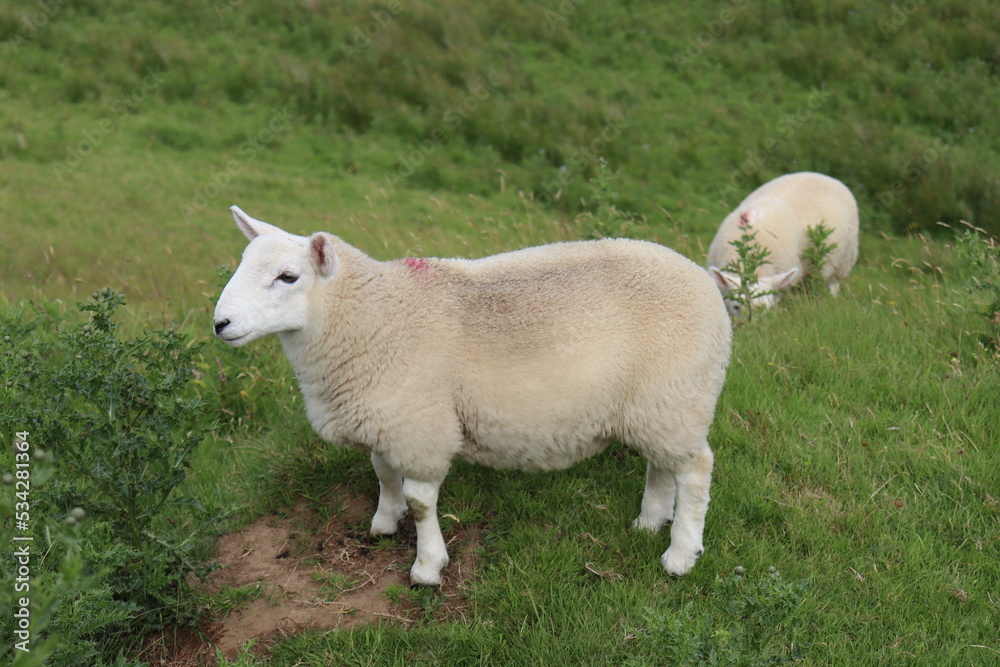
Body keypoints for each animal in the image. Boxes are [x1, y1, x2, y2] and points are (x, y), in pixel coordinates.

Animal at [213, 206, 732, 586]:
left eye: (288, 277)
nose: (220, 324)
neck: (374, 318)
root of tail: (704, 282)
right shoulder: (386, 417)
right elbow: (383, 473)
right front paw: (384, 522)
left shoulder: (420, 426)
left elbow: (421, 501)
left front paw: (427, 566)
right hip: (658, 405)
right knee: (662, 465)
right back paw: (649, 522)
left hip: (678, 396)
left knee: (696, 471)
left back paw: (680, 553)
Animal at [707, 171, 859, 317]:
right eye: (736, 307)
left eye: (765, 308)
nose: (753, 325)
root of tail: (821, 175)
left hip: (843, 261)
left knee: (832, 282)